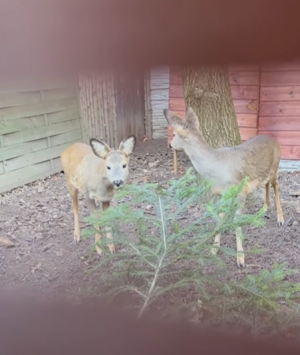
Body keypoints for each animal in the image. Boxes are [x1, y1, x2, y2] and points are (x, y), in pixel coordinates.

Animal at [164, 107, 284, 268]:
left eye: (174, 134)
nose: (170, 145)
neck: (216, 169)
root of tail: (275, 141)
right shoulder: (219, 194)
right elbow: (219, 219)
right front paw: (214, 249)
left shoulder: (240, 191)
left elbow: (236, 222)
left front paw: (240, 258)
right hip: (263, 172)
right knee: (265, 184)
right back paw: (263, 209)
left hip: (275, 167)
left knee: (276, 185)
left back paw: (280, 218)